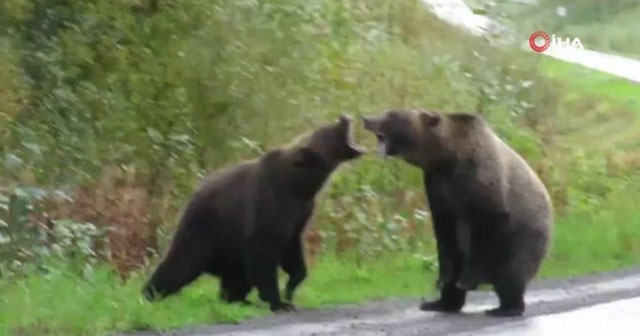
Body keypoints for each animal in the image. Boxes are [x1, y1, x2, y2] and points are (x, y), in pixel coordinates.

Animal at [143, 115, 368, 312]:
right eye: (327, 129)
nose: (344, 117)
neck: (298, 184)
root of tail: (192, 196)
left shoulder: (299, 215)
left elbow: (293, 252)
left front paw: (291, 288)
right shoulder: (267, 205)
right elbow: (263, 255)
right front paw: (279, 302)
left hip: (229, 251)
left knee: (234, 277)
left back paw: (238, 300)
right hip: (205, 229)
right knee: (182, 264)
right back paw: (150, 294)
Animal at [362, 110, 552, 318]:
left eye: (392, 115)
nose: (367, 119)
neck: (448, 158)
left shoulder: (482, 179)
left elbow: (487, 224)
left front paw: (468, 279)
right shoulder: (438, 187)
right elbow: (445, 236)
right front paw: (443, 281)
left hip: (526, 237)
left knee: (511, 273)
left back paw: (506, 308)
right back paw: (439, 303)